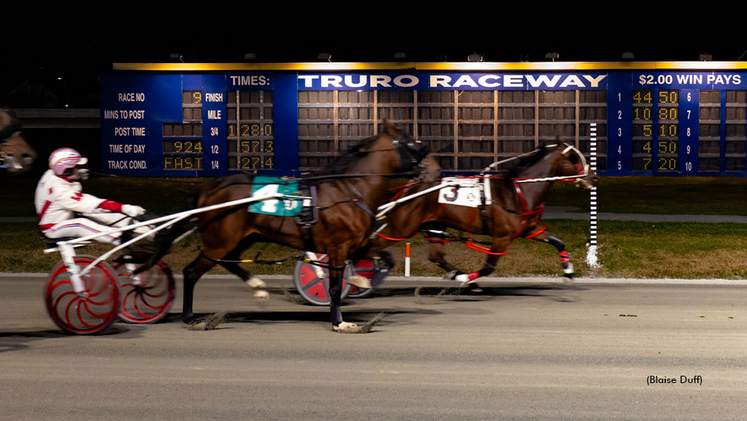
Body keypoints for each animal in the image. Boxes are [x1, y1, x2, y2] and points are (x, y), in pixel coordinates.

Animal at [147, 121, 430, 332]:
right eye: (411, 142)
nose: (429, 158)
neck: (350, 190)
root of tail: (210, 189)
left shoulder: (355, 243)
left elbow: (382, 258)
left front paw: (361, 279)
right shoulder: (338, 246)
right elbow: (333, 286)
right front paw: (339, 322)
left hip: (243, 237)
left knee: (231, 261)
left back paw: (258, 289)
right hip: (219, 241)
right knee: (192, 271)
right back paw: (191, 317)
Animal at [360, 139, 600, 284]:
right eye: (574, 158)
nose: (593, 177)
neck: (518, 192)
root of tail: (412, 186)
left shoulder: (530, 229)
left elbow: (558, 242)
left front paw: (568, 271)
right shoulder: (502, 237)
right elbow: (488, 267)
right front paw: (467, 278)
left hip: (433, 225)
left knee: (436, 256)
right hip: (401, 227)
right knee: (372, 247)